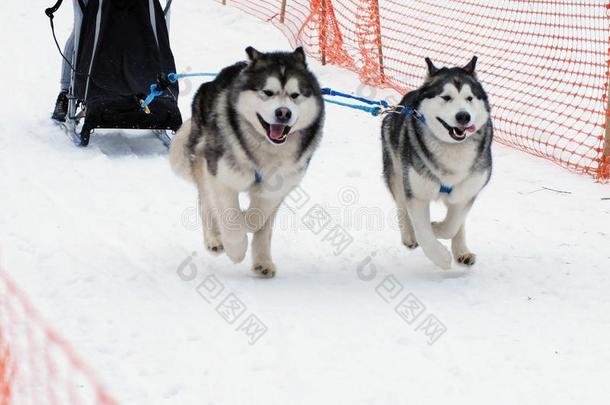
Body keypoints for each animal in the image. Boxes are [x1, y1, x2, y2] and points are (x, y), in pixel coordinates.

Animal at [169, 46, 324, 274]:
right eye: (267, 92)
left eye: (295, 95)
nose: (283, 113)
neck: (266, 151)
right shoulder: (222, 177)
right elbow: (230, 216)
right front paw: (235, 248)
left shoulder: (278, 187)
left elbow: (257, 219)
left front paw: (247, 221)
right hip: (205, 160)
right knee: (206, 200)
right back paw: (214, 238)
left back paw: (263, 261)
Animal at [382, 56, 492, 268]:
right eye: (446, 97)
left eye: (469, 98)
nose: (463, 116)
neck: (452, 148)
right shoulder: (417, 194)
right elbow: (423, 231)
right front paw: (440, 256)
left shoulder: (467, 192)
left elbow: (452, 224)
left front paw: (437, 229)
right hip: (397, 173)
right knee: (401, 205)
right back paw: (409, 235)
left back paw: (461, 250)